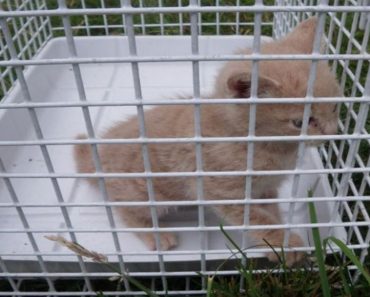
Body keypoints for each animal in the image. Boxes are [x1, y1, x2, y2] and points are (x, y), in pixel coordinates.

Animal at [74, 17, 342, 264]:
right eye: (300, 122)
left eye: (334, 108)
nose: (332, 133)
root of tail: (96, 154)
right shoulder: (222, 190)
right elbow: (256, 219)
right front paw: (285, 244)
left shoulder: (265, 188)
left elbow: (270, 211)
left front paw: (276, 243)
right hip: (144, 191)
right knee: (124, 208)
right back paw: (156, 235)